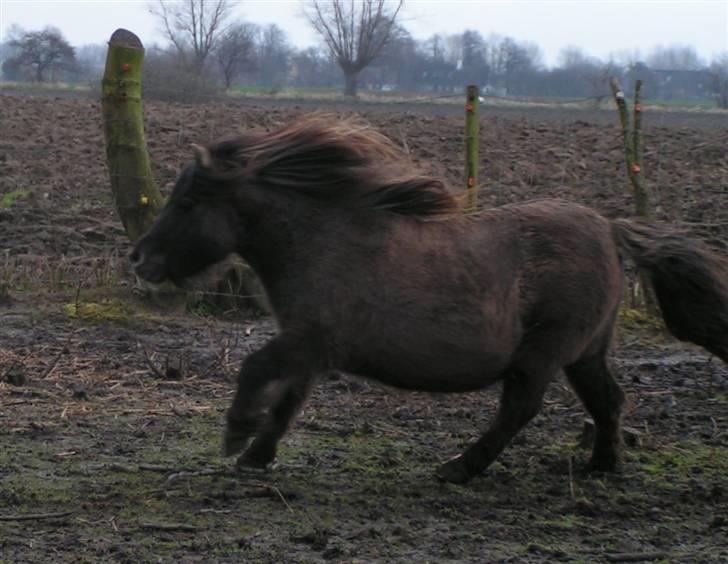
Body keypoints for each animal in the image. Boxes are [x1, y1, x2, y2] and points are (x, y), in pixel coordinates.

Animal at [131, 114, 728, 484]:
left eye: (189, 201)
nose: (140, 259)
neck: (323, 240)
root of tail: (610, 228)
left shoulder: (309, 340)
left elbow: (254, 370)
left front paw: (236, 435)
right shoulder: (310, 352)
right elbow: (286, 404)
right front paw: (256, 456)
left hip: (544, 352)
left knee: (521, 409)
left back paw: (459, 468)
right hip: (585, 352)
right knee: (608, 401)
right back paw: (602, 466)